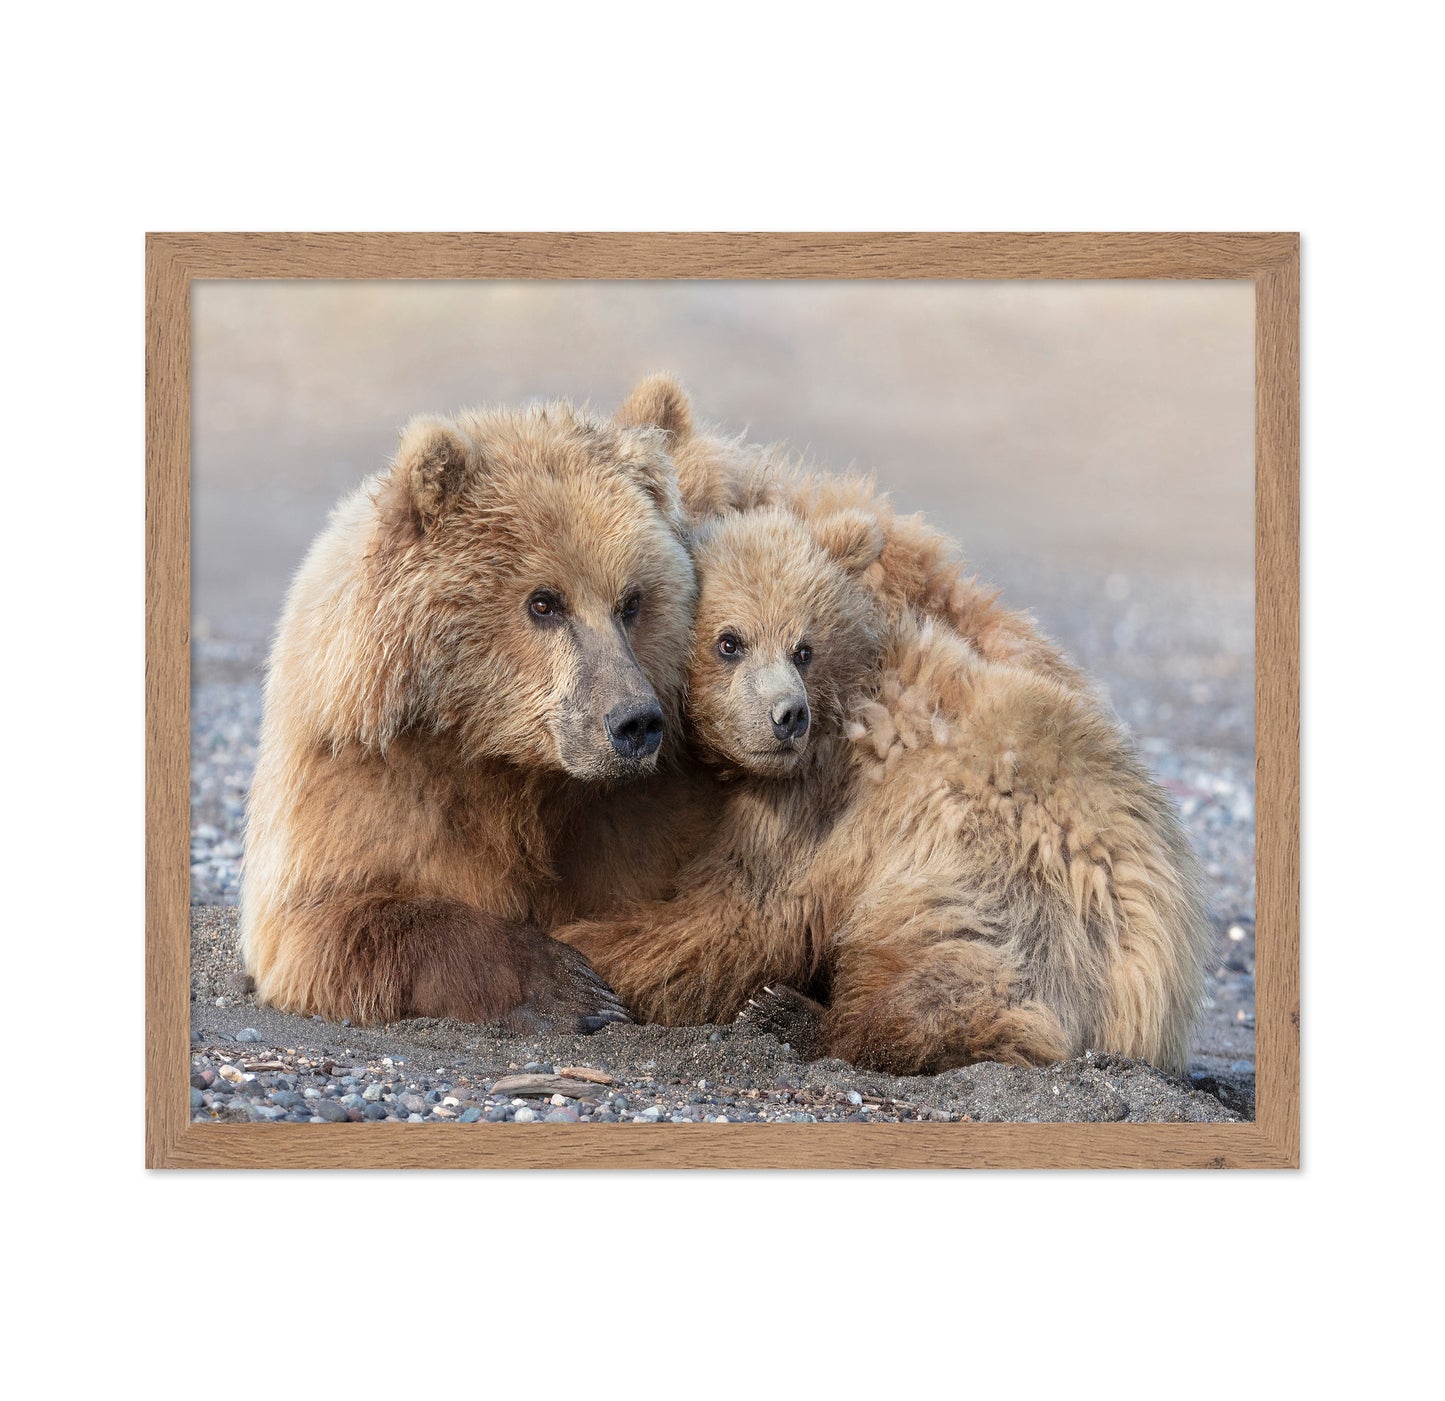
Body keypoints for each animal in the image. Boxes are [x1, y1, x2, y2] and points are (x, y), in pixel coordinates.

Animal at [239, 396, 714, 1030]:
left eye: (631, 601)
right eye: (544, 602)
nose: (634, 723)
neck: (499, 761)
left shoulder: (639, 817)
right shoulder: (362, 785)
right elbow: (328, 922)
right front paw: (569, 983)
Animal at [555, 505, 1211, 1075]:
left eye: (803, 647)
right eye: (729, 641)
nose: (786, 715)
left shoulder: (816, 808)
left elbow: (734, 916)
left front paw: (577, 949)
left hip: (1003, 882)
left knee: (950, 977)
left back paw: (793, 1015)